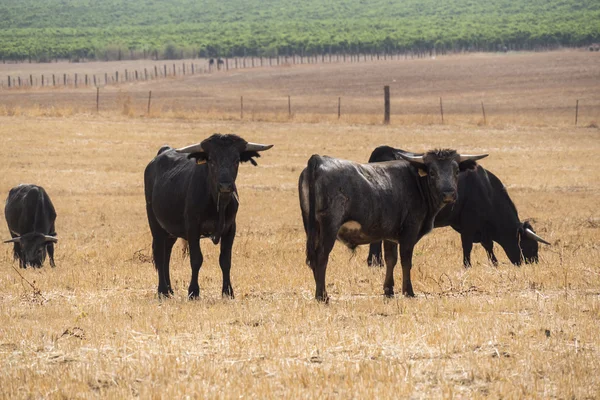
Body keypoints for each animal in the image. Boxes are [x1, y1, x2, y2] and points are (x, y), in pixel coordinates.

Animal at [144, 133, 274, 298]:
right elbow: (196, 259)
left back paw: (170, 289)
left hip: (170, 229)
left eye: (236, 160)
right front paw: (193, 291)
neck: (217, 203)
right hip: (155, 224)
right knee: (160, 254)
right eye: (211, 160)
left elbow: (225, 260)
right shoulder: (192, 229)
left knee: (167, 253)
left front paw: (228, 292)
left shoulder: (230, 229)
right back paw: (162, 291)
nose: (225, 186)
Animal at [300, 148, 488, 300]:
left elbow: (391, 260)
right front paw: (408, 291)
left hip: (312, 229)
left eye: (456, 171)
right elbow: (406, 261)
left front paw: (389, 290)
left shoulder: (389, 235)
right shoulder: (409, 232)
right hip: (329, 228)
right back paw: (323, 296)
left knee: (313, 259)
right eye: (432, 172)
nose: (448, 194)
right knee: (321, 257)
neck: (416, 183)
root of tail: (318, 160)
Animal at [366, 145, 548, 268]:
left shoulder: (482, 228)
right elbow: (467, 246)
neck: (486, 189)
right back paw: (376, 263)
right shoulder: (469, 224)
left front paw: (494, 263)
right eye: (531, 246)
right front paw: (467, 266)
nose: (533, 263)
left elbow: (488, 246)